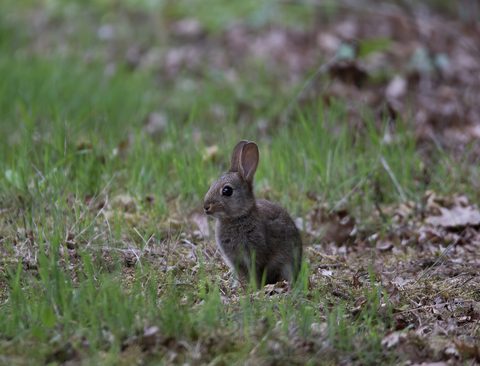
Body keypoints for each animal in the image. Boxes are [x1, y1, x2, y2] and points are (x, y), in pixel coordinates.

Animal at [203, 140, 302, 286]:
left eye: (227, 191)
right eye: (211, 185)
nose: (206, 207)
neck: (238, 217)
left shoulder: (255, 256)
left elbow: (257, 273)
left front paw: (255, 288)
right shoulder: (235, 260)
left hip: (287, 263)